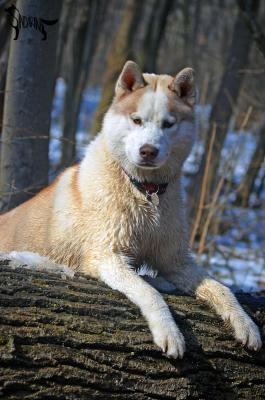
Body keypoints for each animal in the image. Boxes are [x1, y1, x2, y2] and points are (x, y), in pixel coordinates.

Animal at [0, 61, 260, 356]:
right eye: (136, 120)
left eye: (168, 124)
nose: (148, 151)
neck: (145, 191)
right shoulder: (107, 256)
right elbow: (148, 291)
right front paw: (169, 332)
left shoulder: (175, 260)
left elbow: (222, 288)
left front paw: (246, 325)